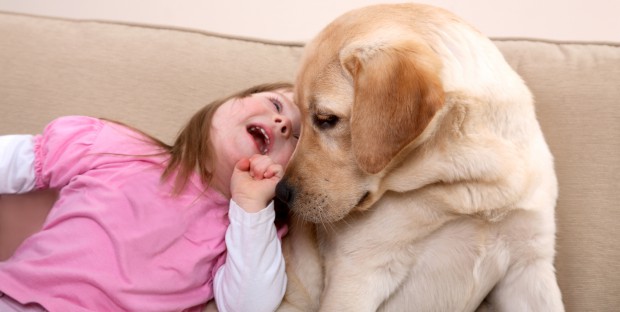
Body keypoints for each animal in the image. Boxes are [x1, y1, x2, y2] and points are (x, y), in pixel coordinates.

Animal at [276, 2, 568, 312]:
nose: (281, 193)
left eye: (326, 119)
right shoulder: (358, 273)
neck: (468, 185)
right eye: (300, 125)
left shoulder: (529, 265)